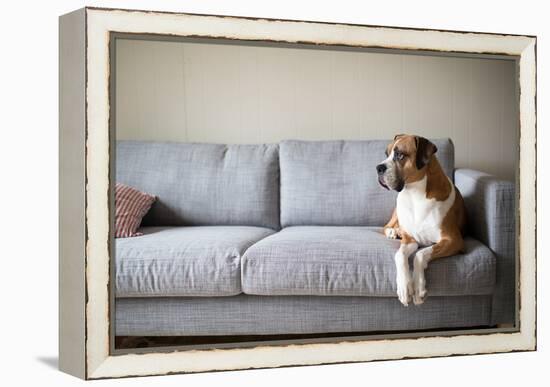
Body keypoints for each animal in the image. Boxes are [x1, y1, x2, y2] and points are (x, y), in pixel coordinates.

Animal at [378, 135, 468, 308]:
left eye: (400, 155)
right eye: (386, 153)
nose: (379, 167)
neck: (414, 194)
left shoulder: (453, 240)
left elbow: (420, 254)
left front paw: (418, 287)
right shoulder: (409, 240)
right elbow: (399, 256)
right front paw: (404, 287)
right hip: (397, 211)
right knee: (386, 226)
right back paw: (393, 231)